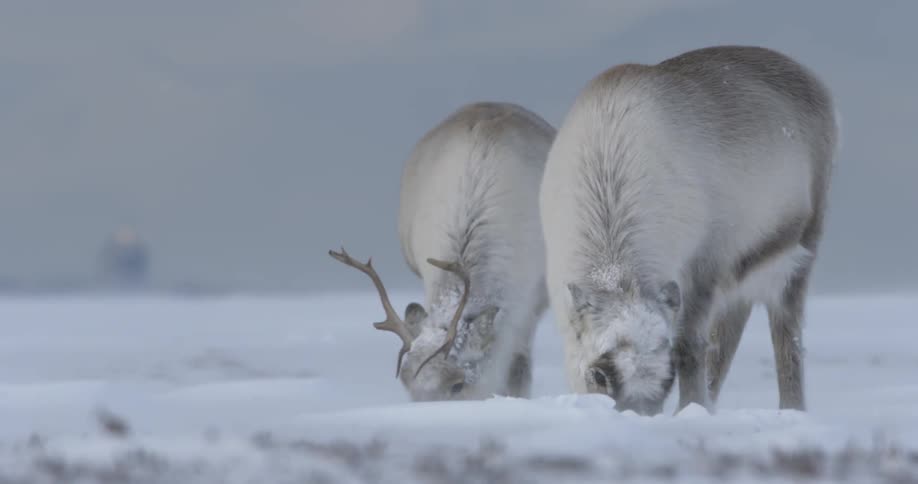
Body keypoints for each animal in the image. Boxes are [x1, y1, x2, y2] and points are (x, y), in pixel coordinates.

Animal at [539, 46, 837, 415]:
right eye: (599, 374)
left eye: (669, 377)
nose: (638, 416)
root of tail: (809, 76)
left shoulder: (703, 268)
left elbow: (691, 346)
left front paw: (691, 408)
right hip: (742, 271)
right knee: (732, 327)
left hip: (797, 254)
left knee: (786, 336)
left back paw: (791, 409)